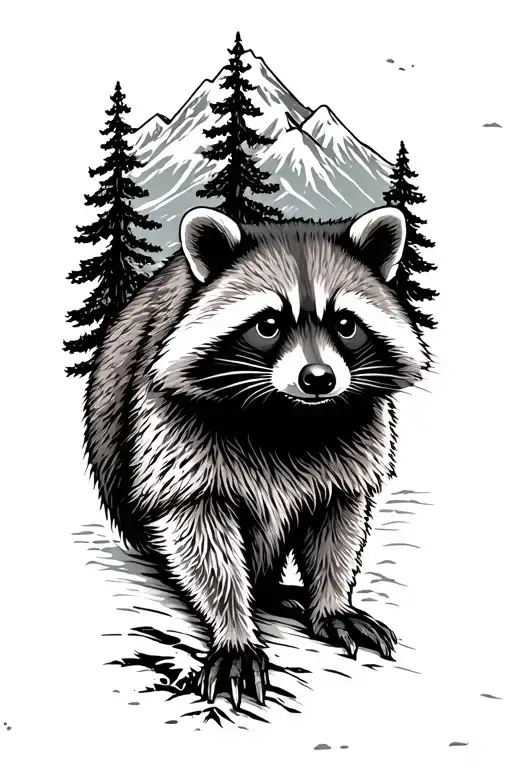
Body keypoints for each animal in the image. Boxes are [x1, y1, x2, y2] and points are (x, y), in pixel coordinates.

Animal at [85, 205, 428, 710]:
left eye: (346, 325)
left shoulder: (357, 436)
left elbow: (338, 522)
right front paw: (233, 630)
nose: (318, 379)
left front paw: (332, 602)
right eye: (268, 325)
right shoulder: (170, 425)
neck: (288, 417)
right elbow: (200, 532)